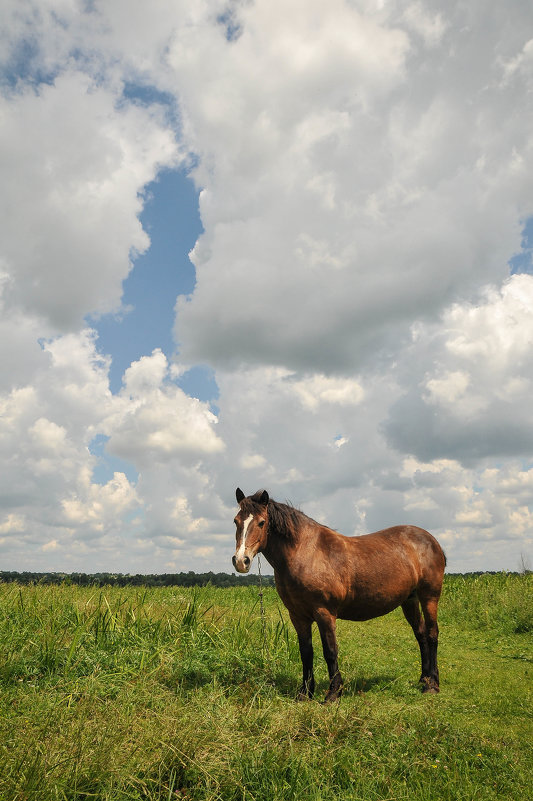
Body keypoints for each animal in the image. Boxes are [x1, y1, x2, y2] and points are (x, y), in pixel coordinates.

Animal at [232, 488, 444, 700]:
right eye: (236, 521)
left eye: (261, 522)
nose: (241, 561)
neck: (306, 553)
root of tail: (431, 541)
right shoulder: (298, 616)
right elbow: (306, 652)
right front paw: (305, 693)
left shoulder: (324, 613)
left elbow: (330, 651)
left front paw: (333, 693)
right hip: (409, 600)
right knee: (421, 634)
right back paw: (423, 679)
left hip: (429, 597)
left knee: (432, 634)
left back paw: (432, 685)